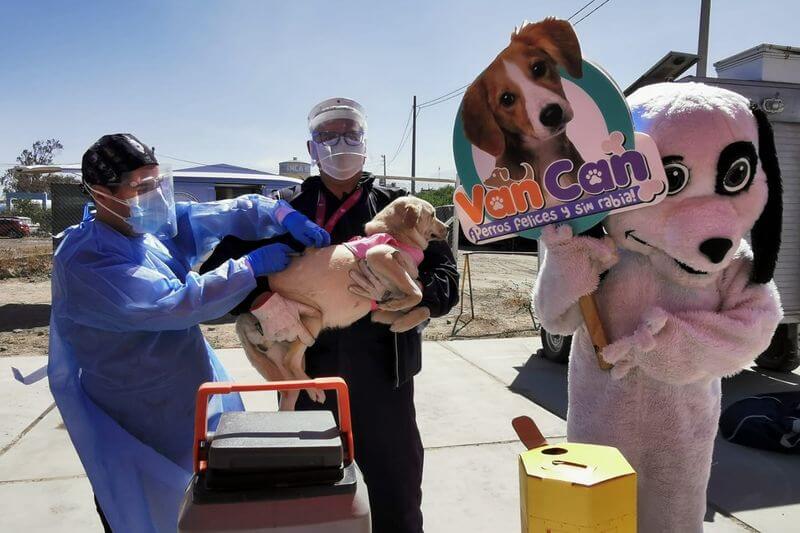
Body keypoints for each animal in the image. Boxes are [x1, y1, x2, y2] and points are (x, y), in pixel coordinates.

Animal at [238, 197, 450, 410]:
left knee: (291, 387)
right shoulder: (379, 255)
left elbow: (421, 308)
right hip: (312, 319)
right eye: (432, 214)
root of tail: (247, 319)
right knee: (291, 362)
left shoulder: (378, 312)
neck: (394, 234)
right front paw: (400, 308)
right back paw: (316, 390)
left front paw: (402, 322)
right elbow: (417, 293)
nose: (448, 229)